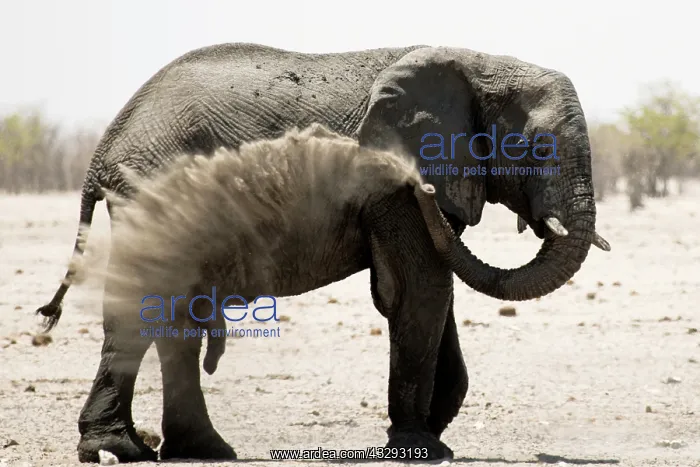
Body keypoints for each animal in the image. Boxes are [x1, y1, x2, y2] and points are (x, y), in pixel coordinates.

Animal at [34, 43, 611, 462]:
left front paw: (435, 440)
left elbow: (429, 291)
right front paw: (420, 448)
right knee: (145, 309)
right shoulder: (393, 190)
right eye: (537, 148)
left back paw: (197, 450)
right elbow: (419, 289)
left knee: (174, 319)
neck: (481, 64)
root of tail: (103, 151)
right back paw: (120, 450)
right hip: (152, 190)